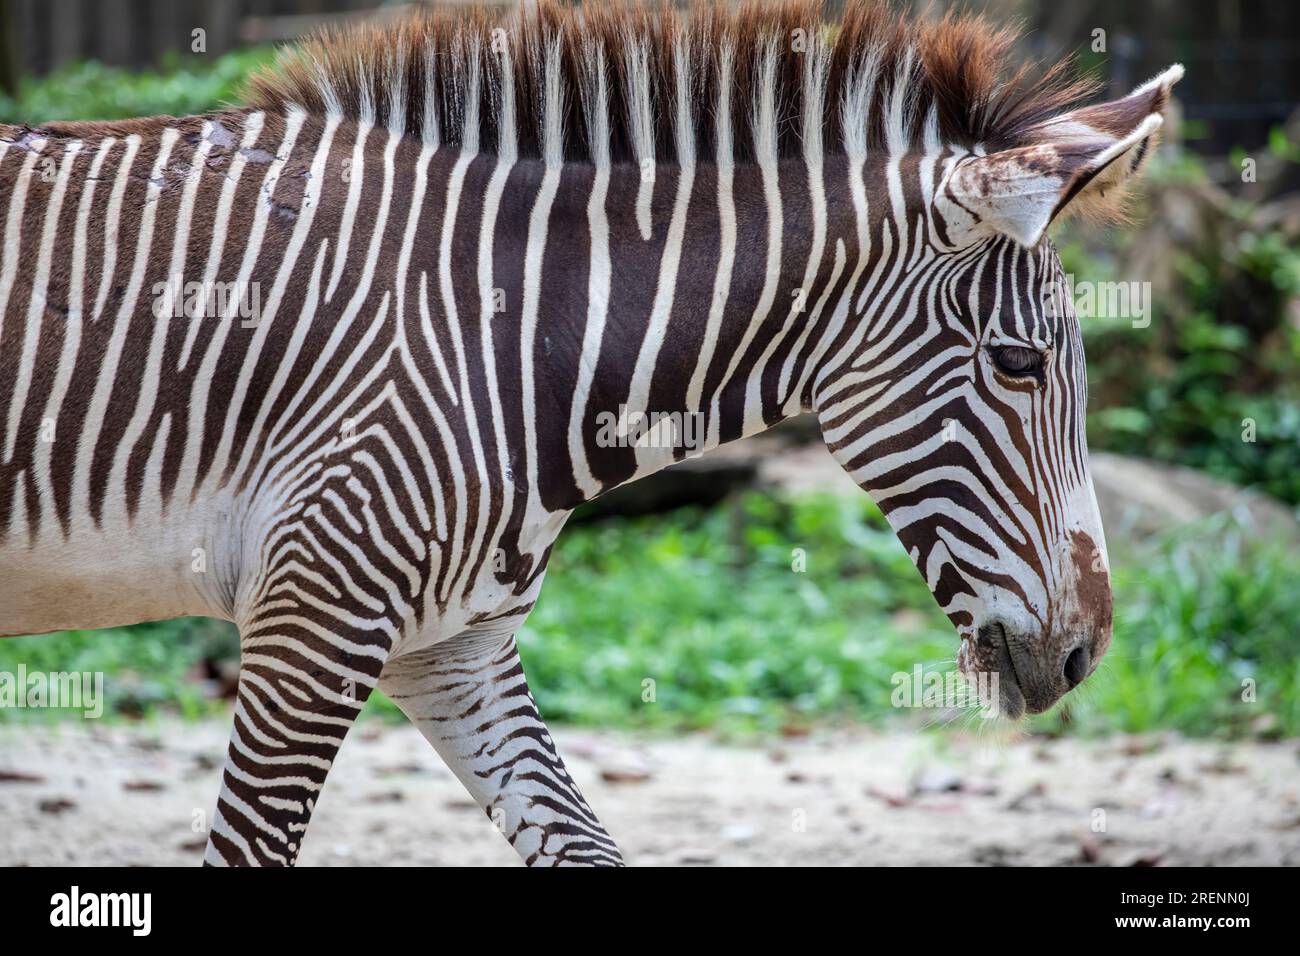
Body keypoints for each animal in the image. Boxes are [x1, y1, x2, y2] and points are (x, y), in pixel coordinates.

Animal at [0, 0, 1181, 866]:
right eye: (1018, 364)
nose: (1083, 655)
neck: (504, 331)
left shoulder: (452, 646)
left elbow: (588, 845)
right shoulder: (311, 613)